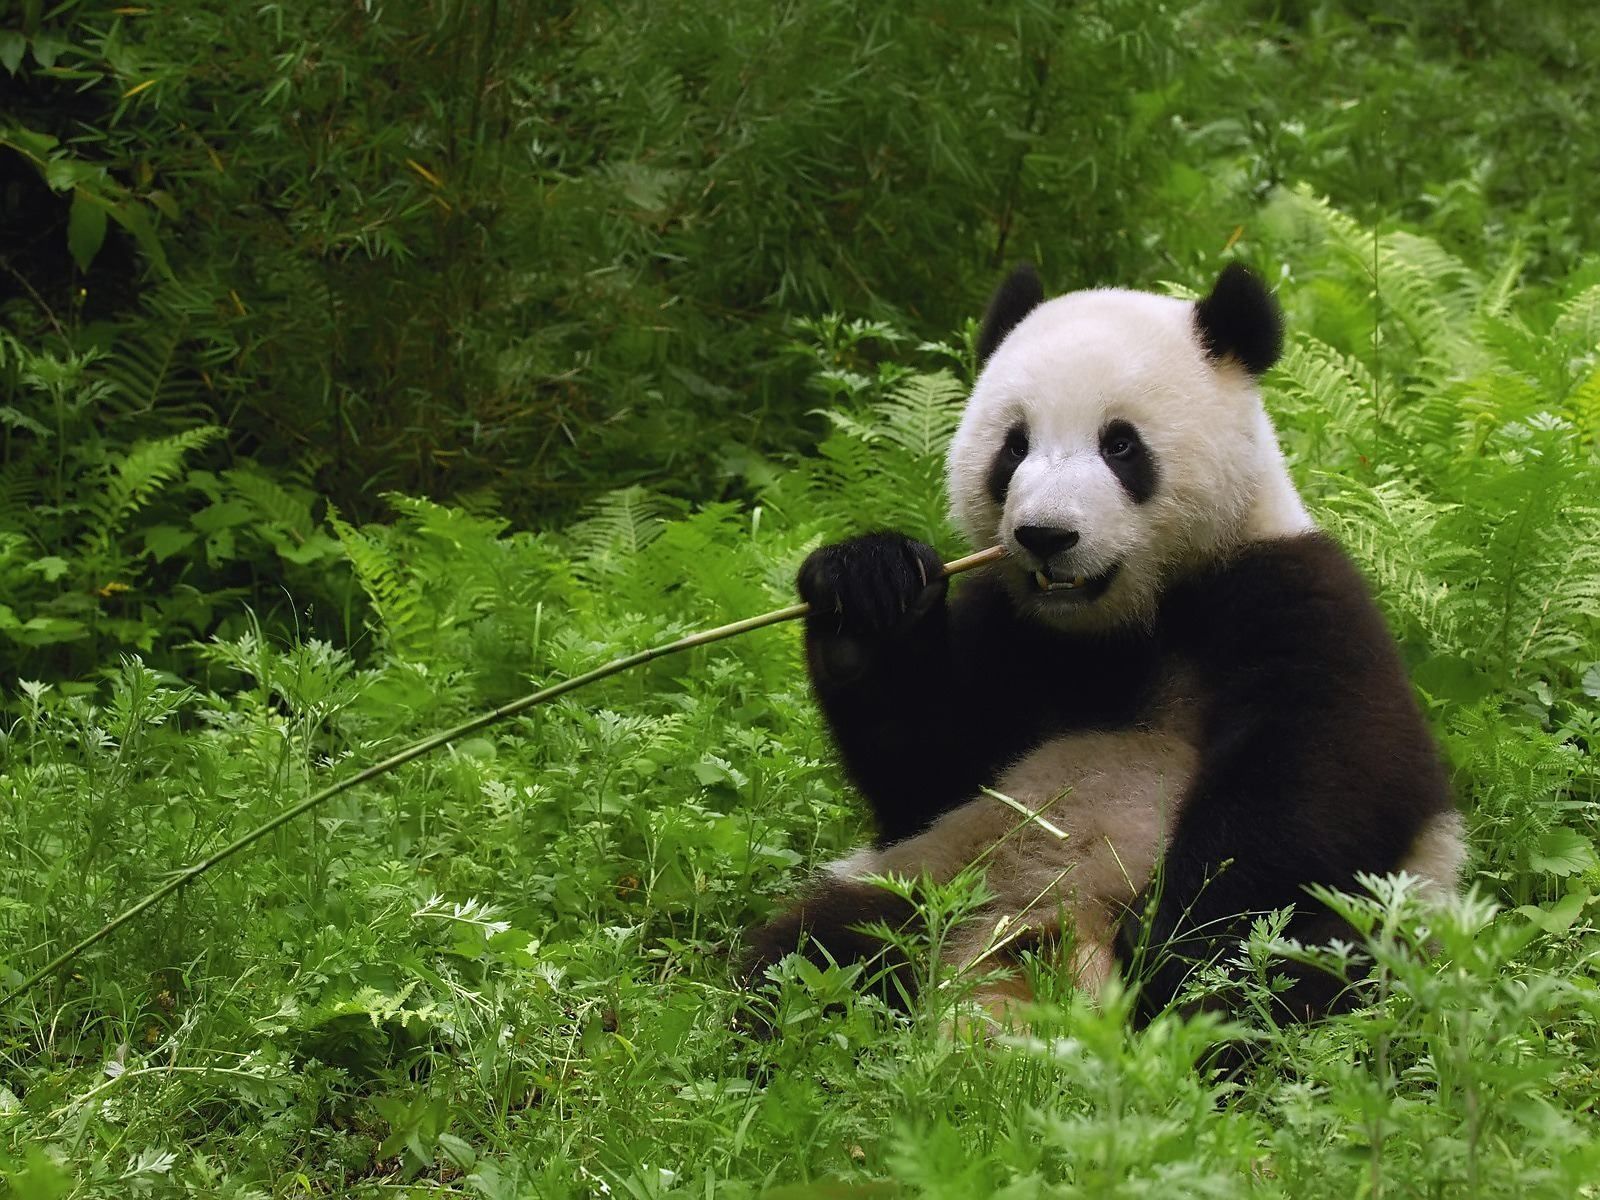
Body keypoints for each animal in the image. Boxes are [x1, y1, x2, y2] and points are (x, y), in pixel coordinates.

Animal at [741, 262, 1465, 1028]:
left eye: (1120, 446)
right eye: (1014, 446)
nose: (1045, 536)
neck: (1122, 623)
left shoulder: (1292, 593)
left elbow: (1326, 779)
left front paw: (1166, 940)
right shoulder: (1008, 628)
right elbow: (926, 770)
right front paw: (867, 589)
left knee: (1295, 966)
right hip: (935, 876)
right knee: (816, 951)